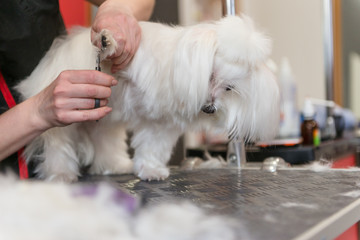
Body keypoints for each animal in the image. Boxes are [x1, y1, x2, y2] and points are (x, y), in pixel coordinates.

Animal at [15, 15, 280, 182]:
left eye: (229, 88)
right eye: (210, 75)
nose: (209, 109)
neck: (173, 69)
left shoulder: (161, 123)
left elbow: (153, 146)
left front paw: (150, 170)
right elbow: (112, 56)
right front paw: (107, 42)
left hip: (104, 121)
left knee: (105, 140)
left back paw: (114, 165)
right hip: (67, 117)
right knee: (58, 145)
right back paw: (60, 173)